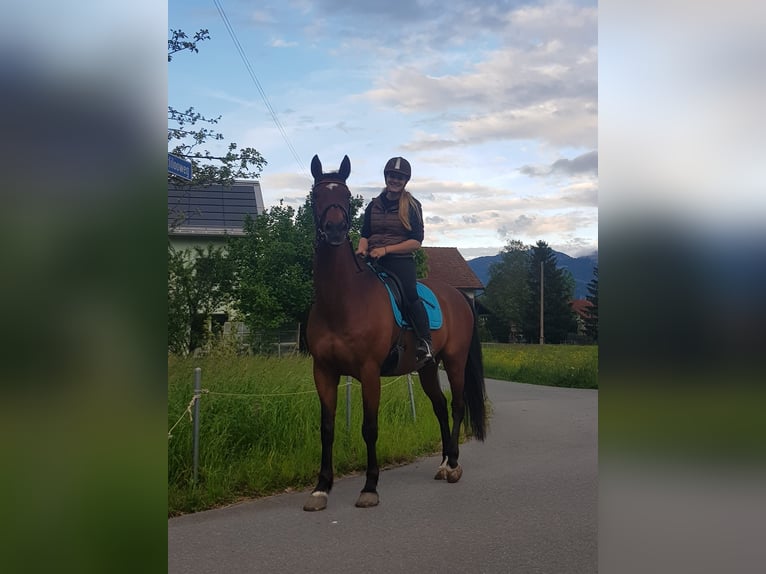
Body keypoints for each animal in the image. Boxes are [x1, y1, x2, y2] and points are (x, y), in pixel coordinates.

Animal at [303, 154, 488, 511]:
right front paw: (321, 488)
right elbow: (326, 427)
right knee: (440, 406)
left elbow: (370, 427)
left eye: (346, 195)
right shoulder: (324, 372)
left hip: (454, 361)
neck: (342, 299)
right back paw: (443, 462)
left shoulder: (369, 372)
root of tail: (458, 296)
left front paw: (370, 487)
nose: (334, 230)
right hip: (428, 368)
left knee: (457, 405)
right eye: (316, 195)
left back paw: (454, 465)